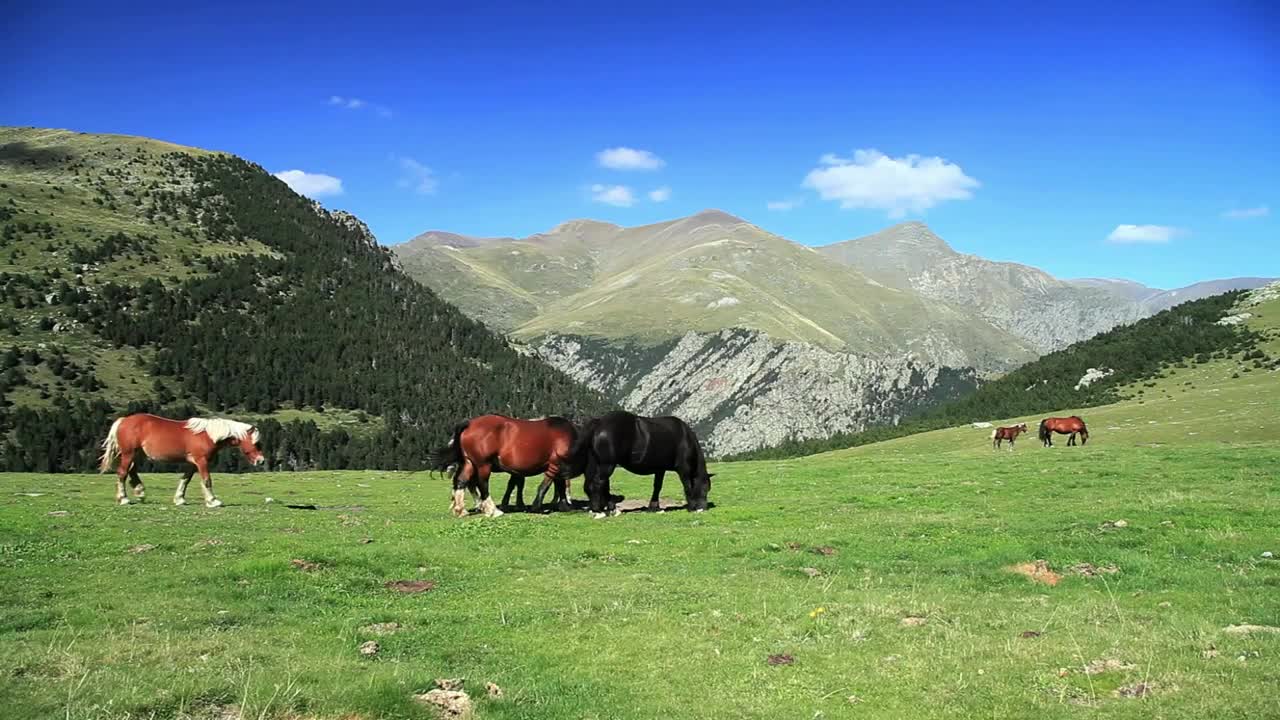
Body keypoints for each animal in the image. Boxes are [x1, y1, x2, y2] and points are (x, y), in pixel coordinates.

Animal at [98, 414, 265, 507]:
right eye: (257, 443)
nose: (261, 461)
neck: (208, 435)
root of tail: (123, 420)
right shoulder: (202, 461)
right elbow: (206, 480)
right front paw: (213, 501)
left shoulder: (192, 463)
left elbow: (185, 480)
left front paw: (179, 499)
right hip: (129, 453)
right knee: (122, 473)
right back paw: (124, 498)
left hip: (136, 454)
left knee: (131, 470)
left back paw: (140, 491)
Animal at [427, 414, 581, 518]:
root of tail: (469, 424)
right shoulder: (556, 464)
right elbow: (549, 485)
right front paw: (538, 506)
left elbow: (559, 485)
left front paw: (564, 505)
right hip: (483, 465)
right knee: (482, 484)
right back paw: (492, 510)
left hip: (469, 463)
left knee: (461, 482)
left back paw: (461, 510)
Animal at [572, 410, 713, 519]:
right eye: (705, 488)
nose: (704, 508)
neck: (685, 437)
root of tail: (599, 422)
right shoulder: (684, 469)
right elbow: (687, 486)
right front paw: (692, 507)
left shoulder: (660, 469)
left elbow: (657, 487)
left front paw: (654, 507)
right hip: (607, 465)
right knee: (598, 483)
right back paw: (600, 511)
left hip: (596, 464)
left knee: (594, 485)